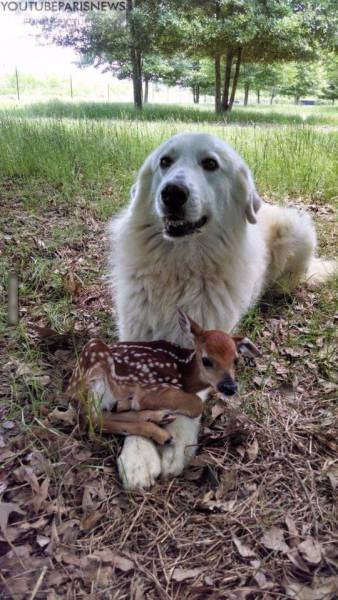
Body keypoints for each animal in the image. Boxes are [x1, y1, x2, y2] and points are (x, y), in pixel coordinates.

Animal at [109, 131, 336, 488]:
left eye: (210, 164)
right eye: (165, 161)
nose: (172, 193)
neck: (180, 266)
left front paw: (175, 441)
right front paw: (138, 453)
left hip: (297, 228)